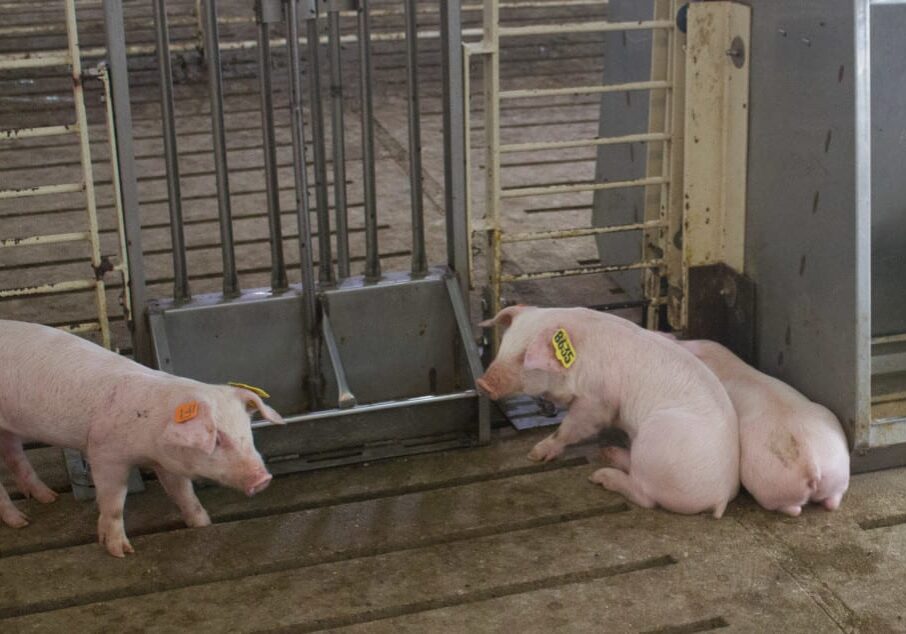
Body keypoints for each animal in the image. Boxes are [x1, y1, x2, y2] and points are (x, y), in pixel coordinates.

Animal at [0, 319, 284, 557]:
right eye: (217, 440)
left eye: (247, 432)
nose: (263, 478)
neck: (150, 439)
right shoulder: (104, 453)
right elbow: (113, 502)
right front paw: (122, 552)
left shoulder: (167, 463)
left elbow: (183, 494)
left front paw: (204, 524)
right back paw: (21, 522)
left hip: (8, 431)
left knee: (14, 455)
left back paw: (49, 499)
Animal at [476, 306, 739, 518]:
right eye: (504, 346)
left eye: (524, 356)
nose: (482, 383)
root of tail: (721, 495)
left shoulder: (597, 401)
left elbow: (571, 428)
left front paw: (534, 454)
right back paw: (607, 453)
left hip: (653, 443)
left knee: (645, 496)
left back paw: (600, 476)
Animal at [671, 337, 849, 516]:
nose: (675, 338)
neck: (723, 362)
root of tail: (811, 465)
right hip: (837, 476)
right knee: (832, 500)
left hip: (769, 486)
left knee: (792, 508)